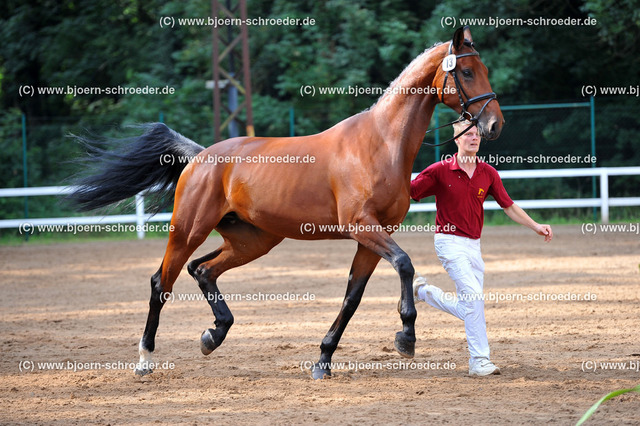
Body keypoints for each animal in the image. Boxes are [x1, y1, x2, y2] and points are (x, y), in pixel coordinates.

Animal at [70, 27, 504, 380]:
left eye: (484, 68)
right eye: (467, 72)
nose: (494, 124)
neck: (380, 143)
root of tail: (200, 156)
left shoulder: (371, 237)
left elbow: (352, 297)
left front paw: (323, 361)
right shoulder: (362, 226)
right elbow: (404, 264)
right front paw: (406, 337)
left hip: (253, 240)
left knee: (203, 270)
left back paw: (214, 334)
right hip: (188, 230)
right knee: (163, 282)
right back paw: (145, 360)